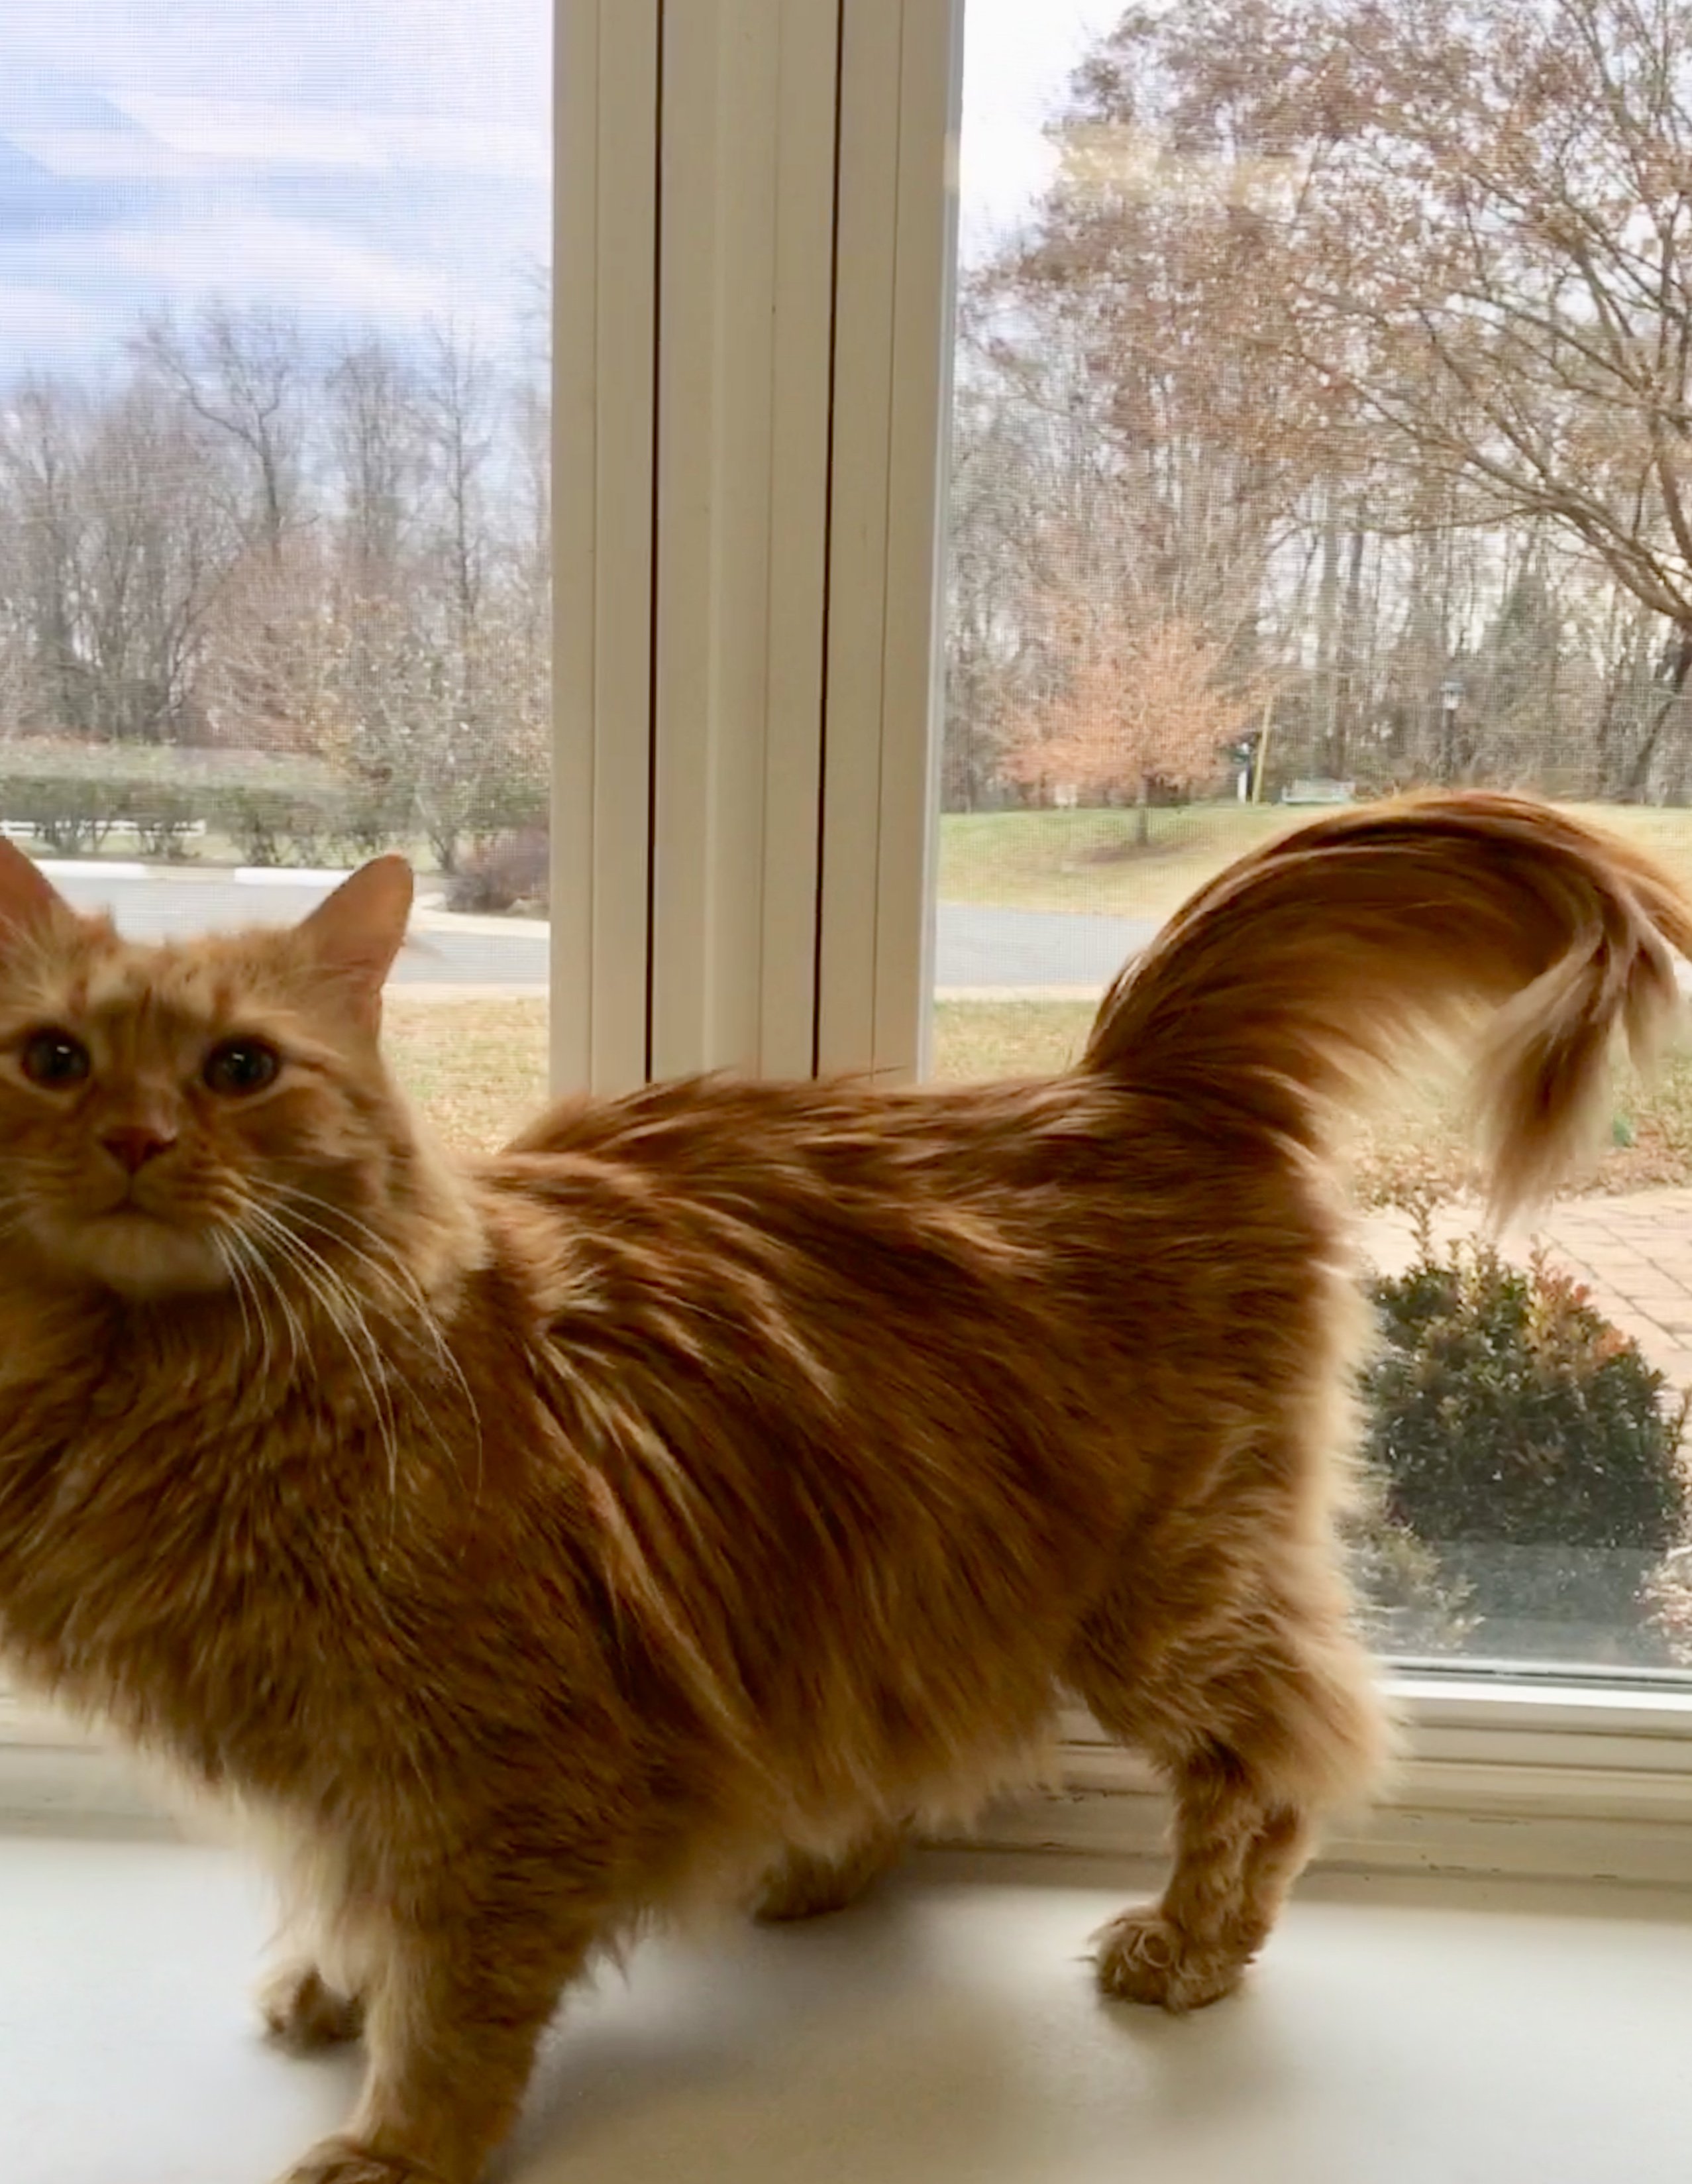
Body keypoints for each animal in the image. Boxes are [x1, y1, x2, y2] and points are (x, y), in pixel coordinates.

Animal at [0, 792, 1687, 2184]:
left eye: (240, 1068)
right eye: (52, 1059)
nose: (135, 1137)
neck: (160, 1390)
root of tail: (1122, 1080)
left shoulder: (493, 1768)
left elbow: (451, 1996)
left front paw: (399, 2144)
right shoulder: (349, 1750)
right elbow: (357, 1902)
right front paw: (330, 1986)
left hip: (1165, 1589)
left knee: (1279, 1752)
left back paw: (1182, 1946)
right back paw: (820, 1868)